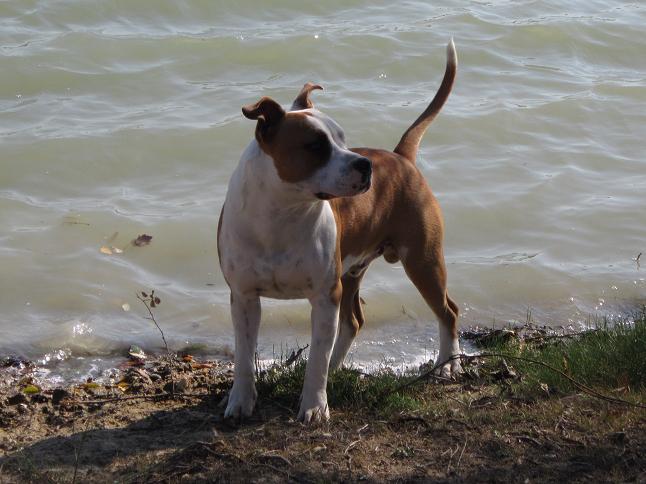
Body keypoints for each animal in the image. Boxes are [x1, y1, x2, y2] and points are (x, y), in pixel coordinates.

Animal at [218, 39, 461, 423]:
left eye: (343, 139)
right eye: (316, 145)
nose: (365, 165)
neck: (282, 214)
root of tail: (400, 157)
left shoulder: (324, 294)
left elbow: (315, 356)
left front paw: (314, 407)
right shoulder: (243, 296)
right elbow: (243, 355)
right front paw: (240, 401)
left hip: (423, 260)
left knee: (448, 311)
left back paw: (448, 364)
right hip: (352, 272)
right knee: (353, 321)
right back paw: (335, 367)